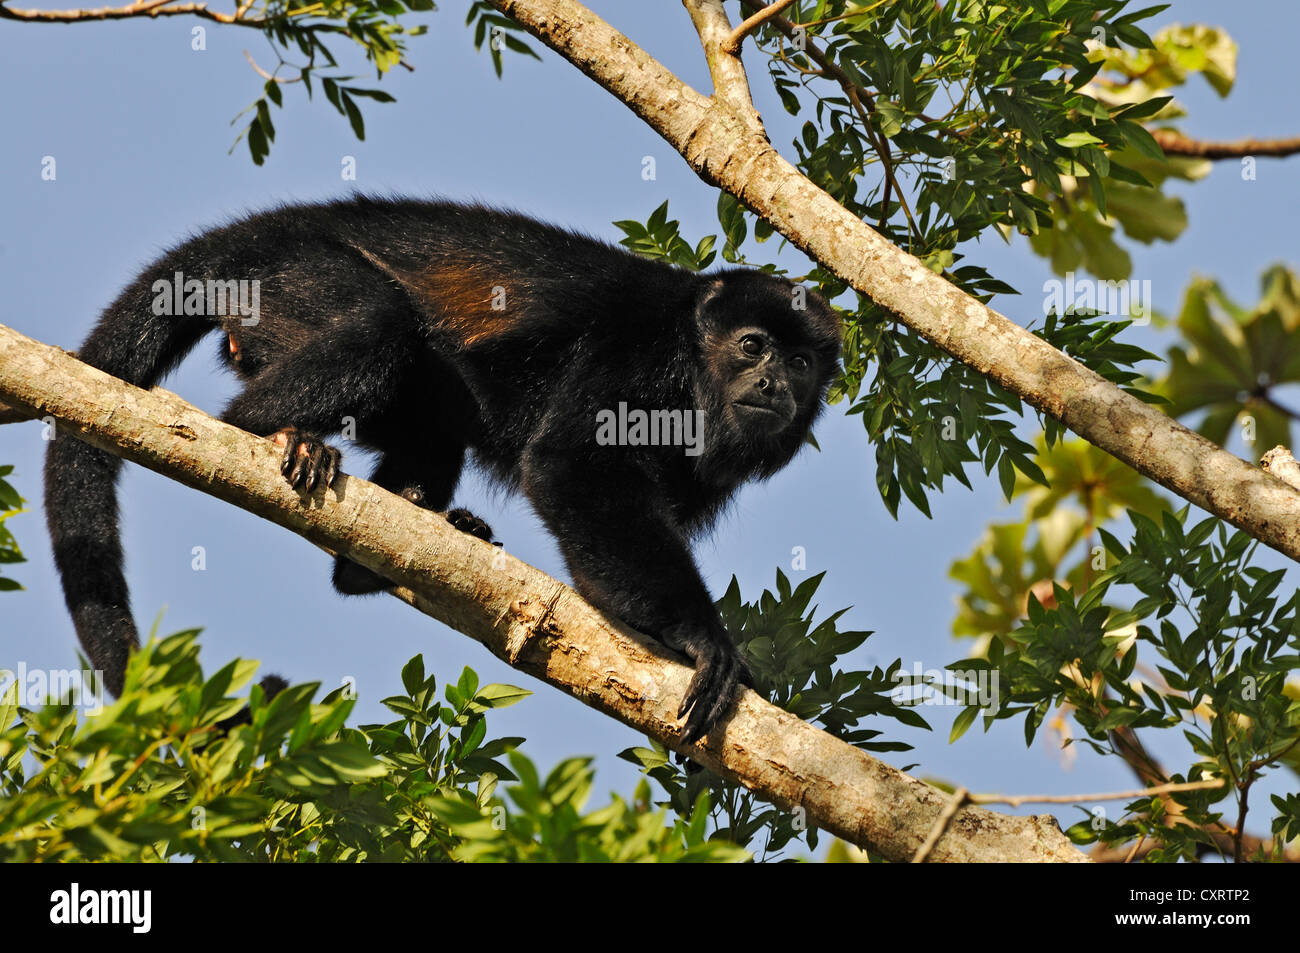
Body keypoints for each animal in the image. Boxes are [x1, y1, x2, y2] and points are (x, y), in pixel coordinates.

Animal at [43, 195, 842, 743]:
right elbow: (572, 469)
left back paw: (389, 547)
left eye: (802, 362)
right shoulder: (637, 354)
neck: (692, 357)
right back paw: (276, 432)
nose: (777, 384)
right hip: (293, 281)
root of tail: (270, 229)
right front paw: (707, 639)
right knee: (377, 324)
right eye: (753, 346)